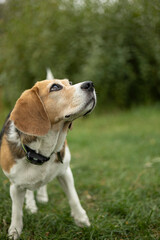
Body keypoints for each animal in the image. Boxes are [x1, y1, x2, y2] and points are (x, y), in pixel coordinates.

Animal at [0, 74, 96, 239]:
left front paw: (81, 219)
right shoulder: (15, 186)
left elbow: (73, 197)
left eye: (70, 83)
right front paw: (14, 231)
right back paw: (31, 204)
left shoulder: (65, 172)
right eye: (55, 87)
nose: (90, 84)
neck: (42, 152)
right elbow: (16, 212)